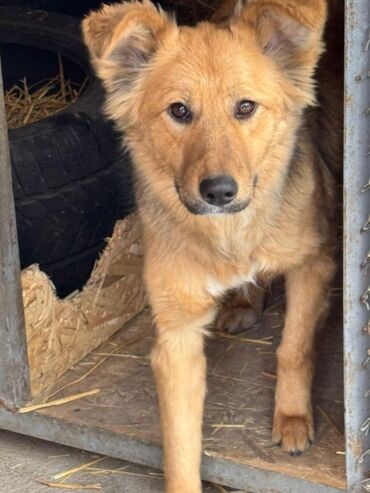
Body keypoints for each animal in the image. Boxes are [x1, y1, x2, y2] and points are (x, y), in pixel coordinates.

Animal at [81, 0, 342, 488]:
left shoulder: (313, 263)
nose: (219, 191)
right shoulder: (177, 335)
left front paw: (293, 420)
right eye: (179, 111)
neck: (230, 234)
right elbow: (180, 443)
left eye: (245, 107)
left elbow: (294, 348)